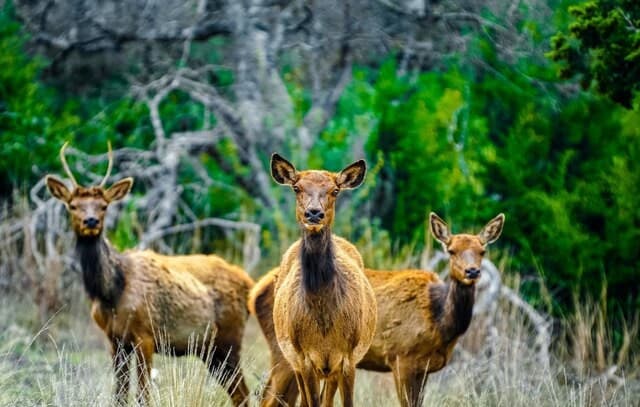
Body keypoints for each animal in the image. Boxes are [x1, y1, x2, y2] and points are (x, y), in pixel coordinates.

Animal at [45, 142, 254, 406]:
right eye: (72, 206)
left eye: (104, 206)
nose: (90, 221)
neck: (111, 292)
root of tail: (249, 283)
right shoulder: (115, 340)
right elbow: (120, 395)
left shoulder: (145, 335)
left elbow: (143, 395)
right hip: (210, 349)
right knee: (239, 393)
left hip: (229, 337)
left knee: (244, 392)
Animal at [251, 212, 505, 407]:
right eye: (451, 250)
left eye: (482, 251)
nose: (472, 271)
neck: (440, 321)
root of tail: (255, 293)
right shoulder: (401, 358)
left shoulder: (424, 369)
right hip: (284, 350)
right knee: (268, 399)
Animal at [268, 153, 377, 407]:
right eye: (296, 188)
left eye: (335, 190)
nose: (314, 213)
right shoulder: (305, 358)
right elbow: (312, 402)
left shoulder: (348, 358)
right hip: (294, 360)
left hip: (330, 370)